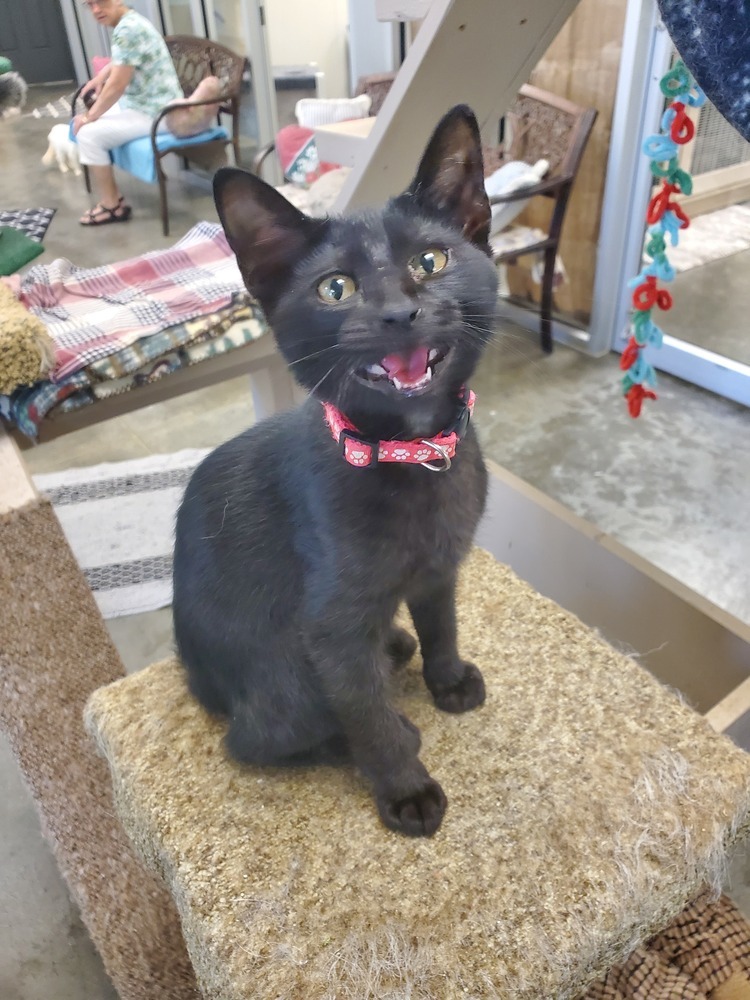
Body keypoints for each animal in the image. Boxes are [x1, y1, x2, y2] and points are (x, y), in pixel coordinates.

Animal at [172, 105, 500, 836]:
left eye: (430, 260)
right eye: (336, 289)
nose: (398, 312)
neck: (414, 456)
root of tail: (203, 683)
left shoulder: (440, 569)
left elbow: (443, 623)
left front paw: (448, 679)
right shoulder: (332, 629)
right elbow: (365, 712)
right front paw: (406, 789)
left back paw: (400, 648)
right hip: (284, 678)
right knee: (257, 741)